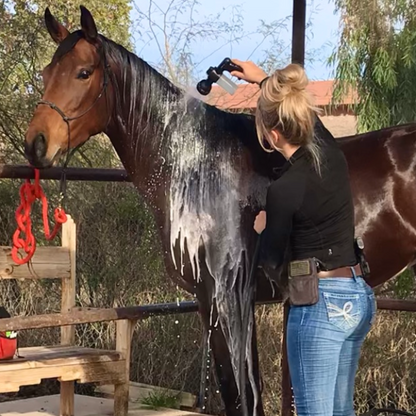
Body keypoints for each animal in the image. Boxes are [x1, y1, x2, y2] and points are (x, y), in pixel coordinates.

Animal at [23, 5, 416, 416]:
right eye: (47, 74)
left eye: (84, 72)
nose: (35, 144)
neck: (199, 166)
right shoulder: (225, 304)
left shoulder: (224, 300)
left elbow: (239, 394)